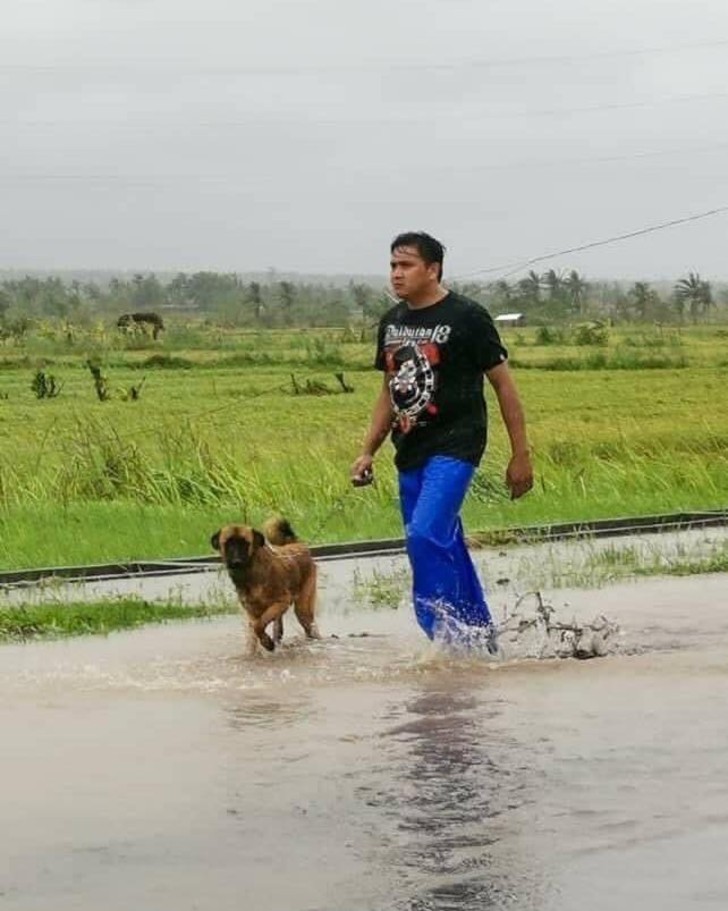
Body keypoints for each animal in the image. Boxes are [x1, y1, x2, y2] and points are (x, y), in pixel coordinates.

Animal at [209, 516, 320, 652]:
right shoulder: (252, 612)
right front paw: (263, 644)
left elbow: (258, 625)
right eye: (228, 544)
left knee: (309, 625)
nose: (236, 561)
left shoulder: (281, 602)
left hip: (303, 609)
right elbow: (255, 630)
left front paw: (267, 643)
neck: (250, 575)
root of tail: (297, 544)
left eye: (245, 543)